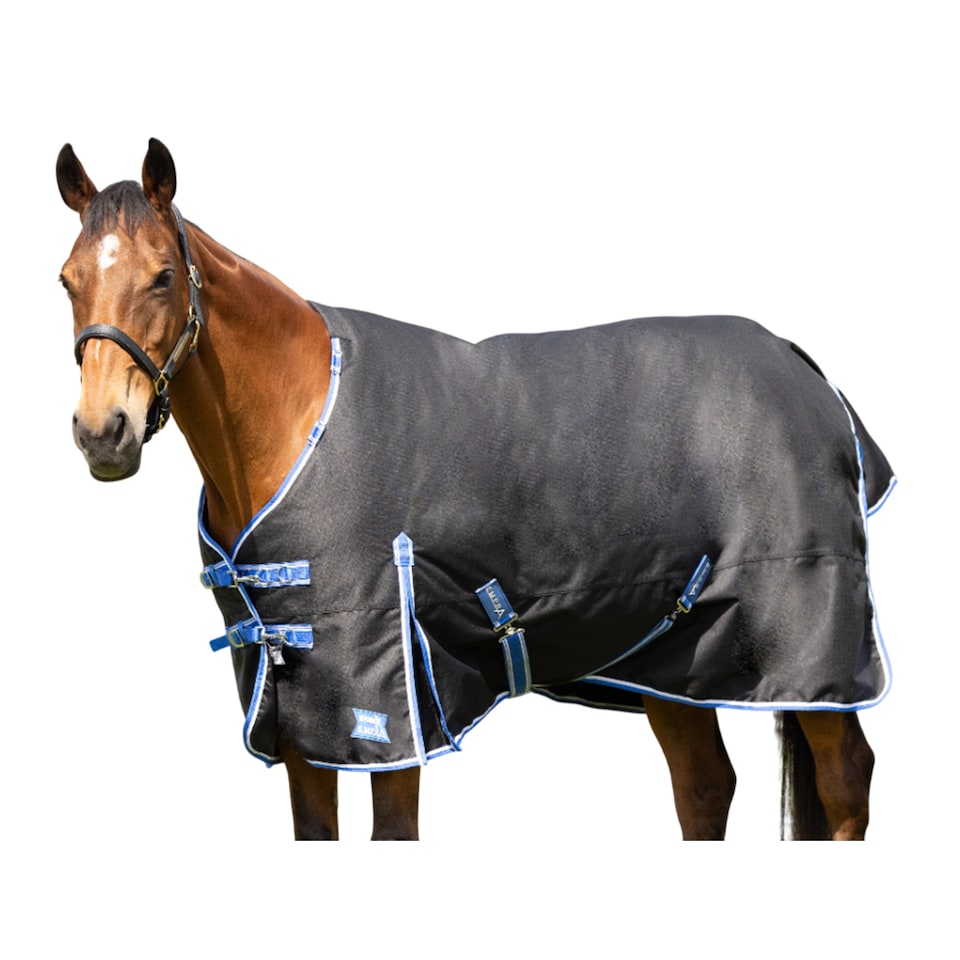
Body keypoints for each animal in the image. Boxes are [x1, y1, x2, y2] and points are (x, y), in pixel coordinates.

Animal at [57, 138, 892, 840]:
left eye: (163, 275)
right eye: (67, 280)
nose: (103, 433)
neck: (298, 415)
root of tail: (802, 365)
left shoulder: (391, 708)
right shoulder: (299, 719)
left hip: (807, 648)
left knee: (845, 780)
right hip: (674, 658)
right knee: (705, 786)